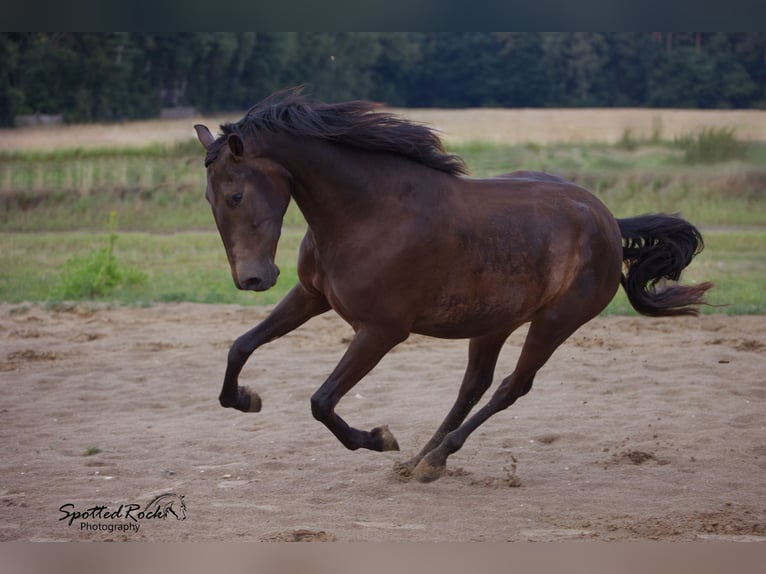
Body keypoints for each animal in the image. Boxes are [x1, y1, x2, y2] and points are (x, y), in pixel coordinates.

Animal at [194, 88, 712, 484]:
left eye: (236, 195)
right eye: (209, 200)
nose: (253, 279)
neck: (367, 213)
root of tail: (608, 220)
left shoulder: (382, 330)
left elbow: (321, 402)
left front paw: (379, 438)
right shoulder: (311, 295)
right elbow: (240, 346)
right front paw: (245, 399)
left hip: (555, 321)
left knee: (511, 386)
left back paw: (435, 459)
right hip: (495, 320)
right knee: (473, 386)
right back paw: (421, 458)